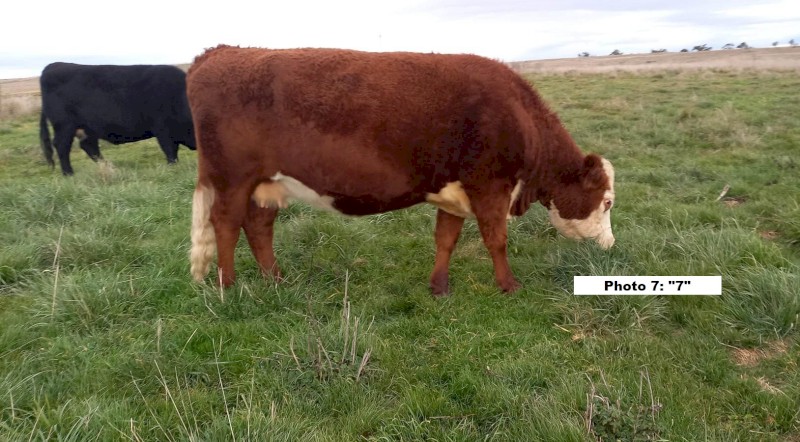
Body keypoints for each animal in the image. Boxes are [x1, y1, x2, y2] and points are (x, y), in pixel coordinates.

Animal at [39, 62, 196, 175]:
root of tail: (52, 66)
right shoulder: (162, 128)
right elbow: (171, 151)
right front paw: (173, 168)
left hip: (87, 128)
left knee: (90, 147)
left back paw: (109, 168)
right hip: (64, 125)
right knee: (62, 146)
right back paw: (69, 173)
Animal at [187, 45, 616, 296]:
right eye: (608, 202)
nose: (610, 245)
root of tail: (218, 52)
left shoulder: (454, 191)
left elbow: (446, 239)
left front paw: (439, 287)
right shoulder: (489, 185)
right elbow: (497, 240)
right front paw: (509, 286)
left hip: (265, 182)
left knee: (258, 226)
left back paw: (275, 281)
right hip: (231, 178)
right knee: (226, 223)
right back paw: (228, 286)